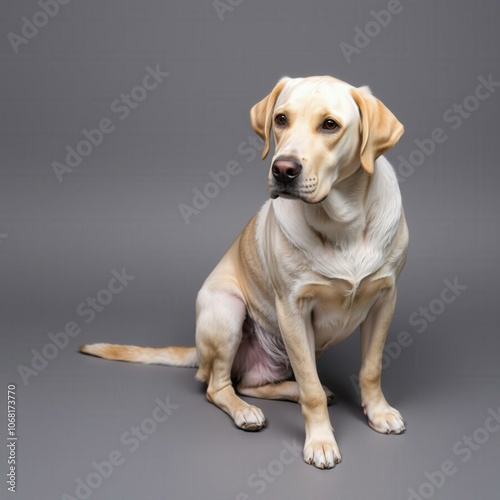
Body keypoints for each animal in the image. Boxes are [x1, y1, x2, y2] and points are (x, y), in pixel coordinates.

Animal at [80, 75, 408, 468]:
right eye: (281, 119)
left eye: (330, 125)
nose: (283, 169)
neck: (342, 222)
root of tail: (197, 349)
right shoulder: (292, 309)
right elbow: (311, 389)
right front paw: (320, 440)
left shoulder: (385, 300)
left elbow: (370, 369)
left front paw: (378, 412)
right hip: (228, 310)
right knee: (219, 386)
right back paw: (246, 410)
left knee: (253, 383)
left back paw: (288, 389)